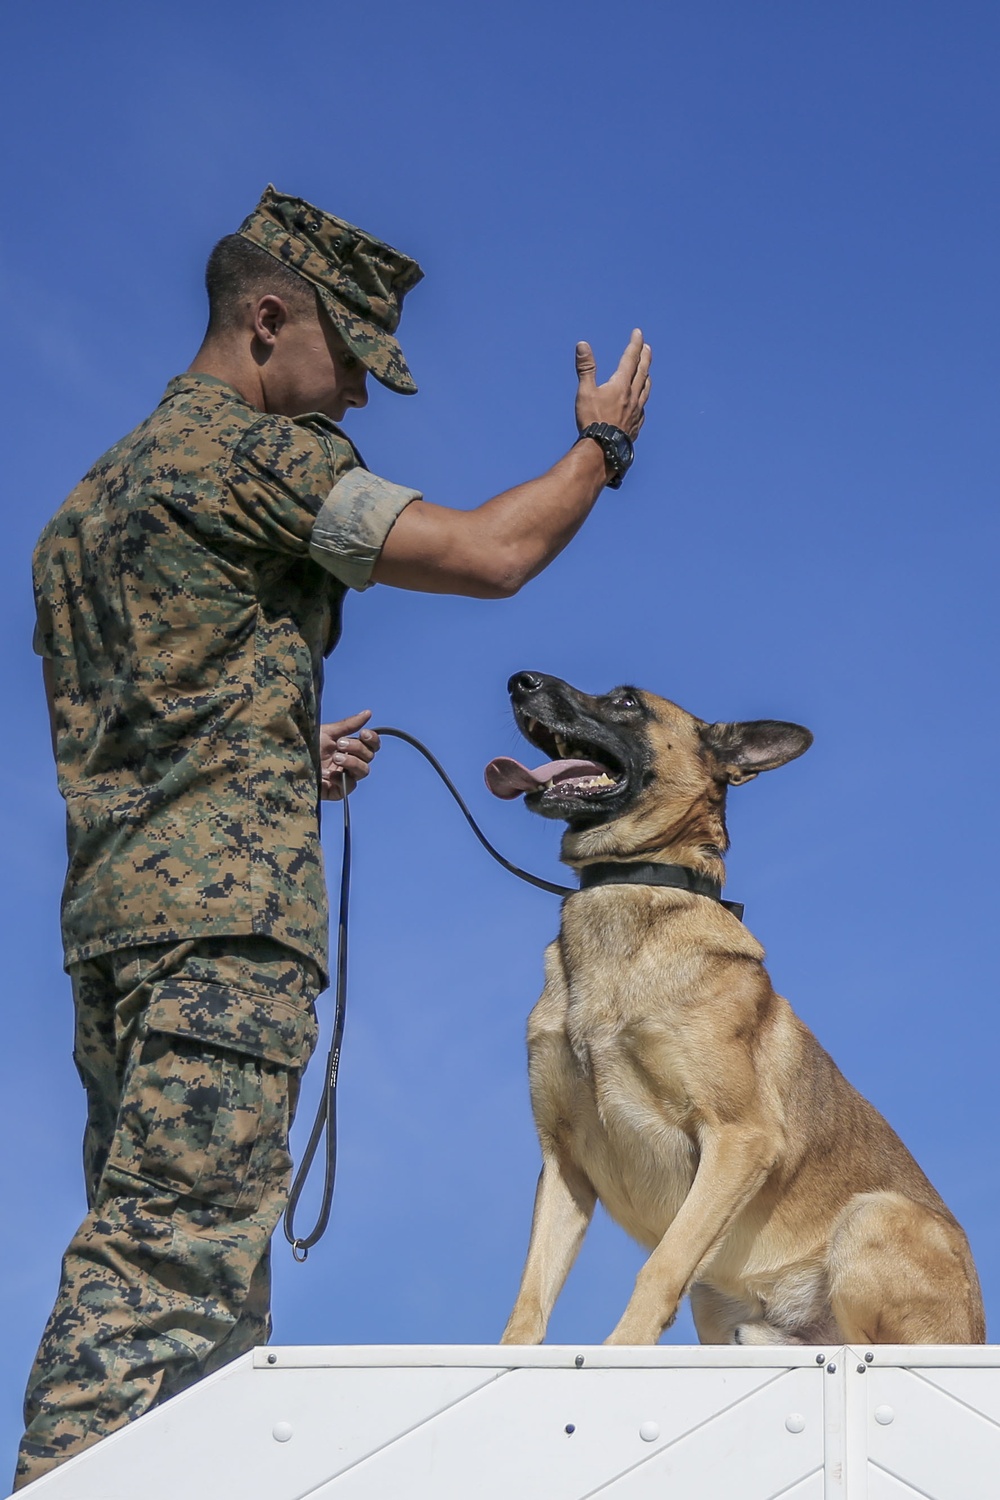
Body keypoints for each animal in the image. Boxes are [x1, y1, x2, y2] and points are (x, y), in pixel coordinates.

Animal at [485, 672, 983, 1350]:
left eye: (626, 701)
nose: (520, 681)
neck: (635, 886)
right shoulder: (563, 1164)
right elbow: (530, 1300)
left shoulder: (739, 1137)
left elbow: (660, 1267)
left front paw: (619, 1350)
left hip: (872, 1215)